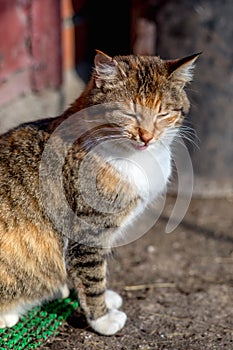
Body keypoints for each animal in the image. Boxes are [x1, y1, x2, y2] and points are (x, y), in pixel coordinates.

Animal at [0, 50, 198, 334]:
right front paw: (103, 318)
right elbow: (92, 277)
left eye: (163, 113)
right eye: (130, 113)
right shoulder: (88, 231)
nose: (147, 137)